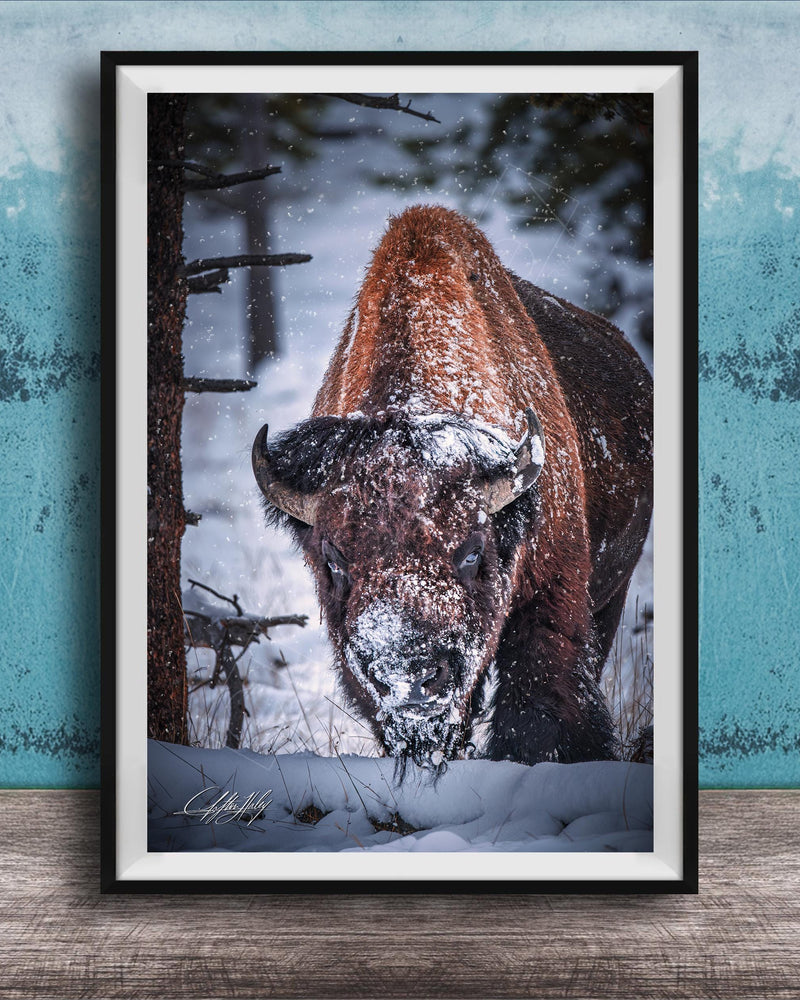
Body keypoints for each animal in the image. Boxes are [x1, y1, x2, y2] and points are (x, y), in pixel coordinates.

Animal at [253, 205, 653, 767]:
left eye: (471, 552)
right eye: (333, 559)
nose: (409, 678)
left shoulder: (552, 598)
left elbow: (538, 705)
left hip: (611, 594)